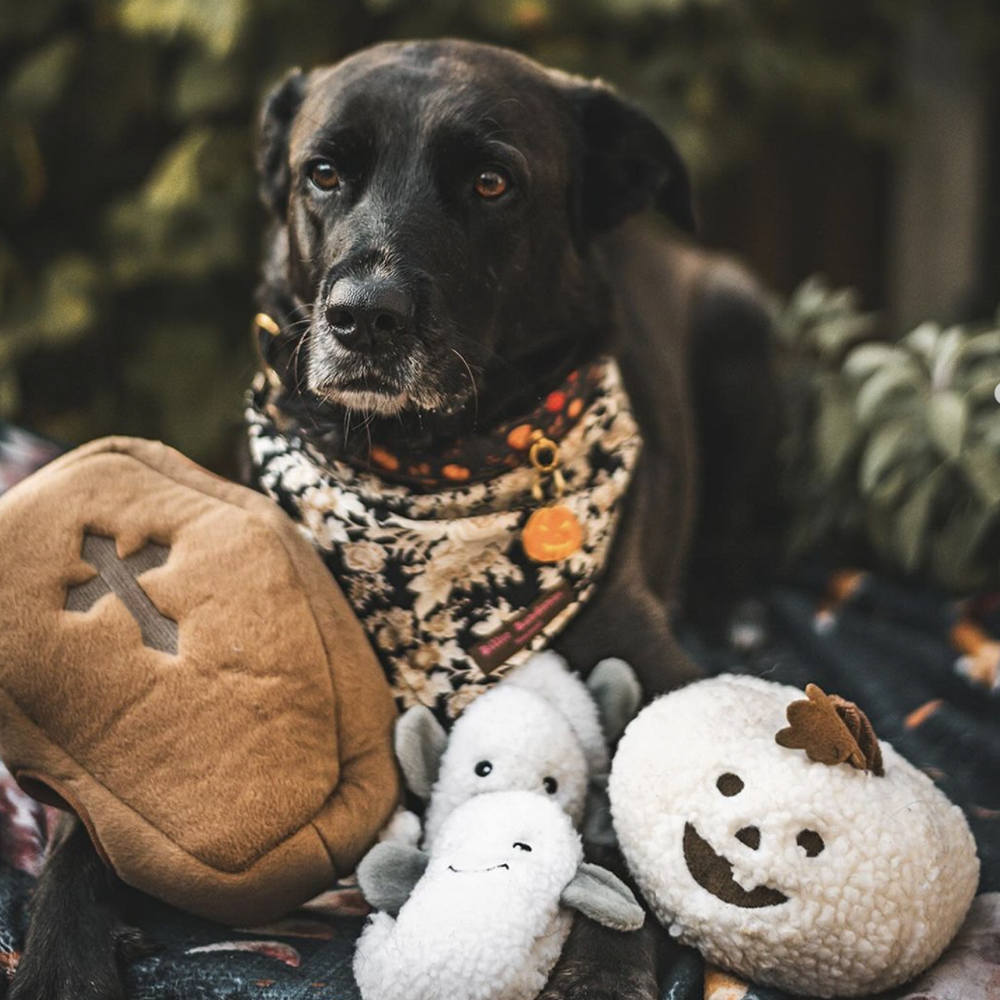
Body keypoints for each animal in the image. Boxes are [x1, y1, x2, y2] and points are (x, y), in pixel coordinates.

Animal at [7, 37, 776, 1000]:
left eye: (491, 181)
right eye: (324, 173)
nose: (362, 318)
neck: (421, 470)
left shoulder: (662, 674)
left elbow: (640, 814)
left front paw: (600, 971)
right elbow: (86, 833)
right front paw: (59, 958)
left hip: (744, 332)